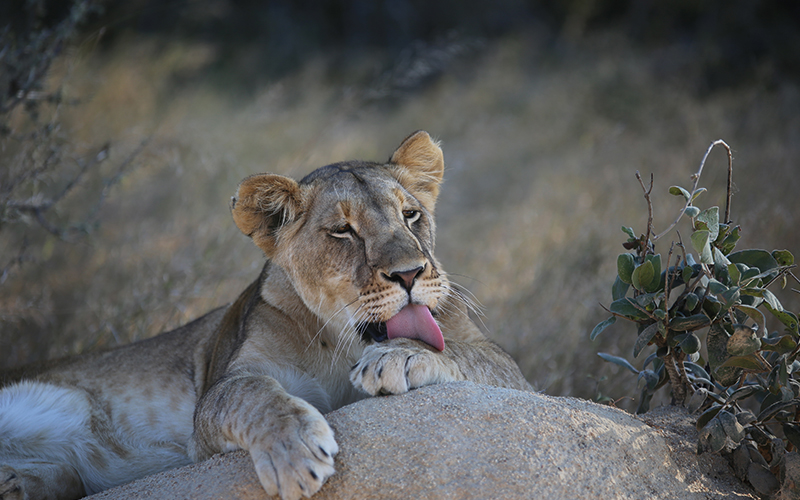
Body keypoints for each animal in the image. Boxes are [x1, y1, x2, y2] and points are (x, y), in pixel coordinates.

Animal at [0, 131, 532, 498]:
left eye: (411, 214)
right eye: (343, 231)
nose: (410, 273)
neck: (343, 341)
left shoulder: (509, 371)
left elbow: (468, 354)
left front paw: (398, 357)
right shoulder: (219, 395)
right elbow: (252, 394)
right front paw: (295, 454)